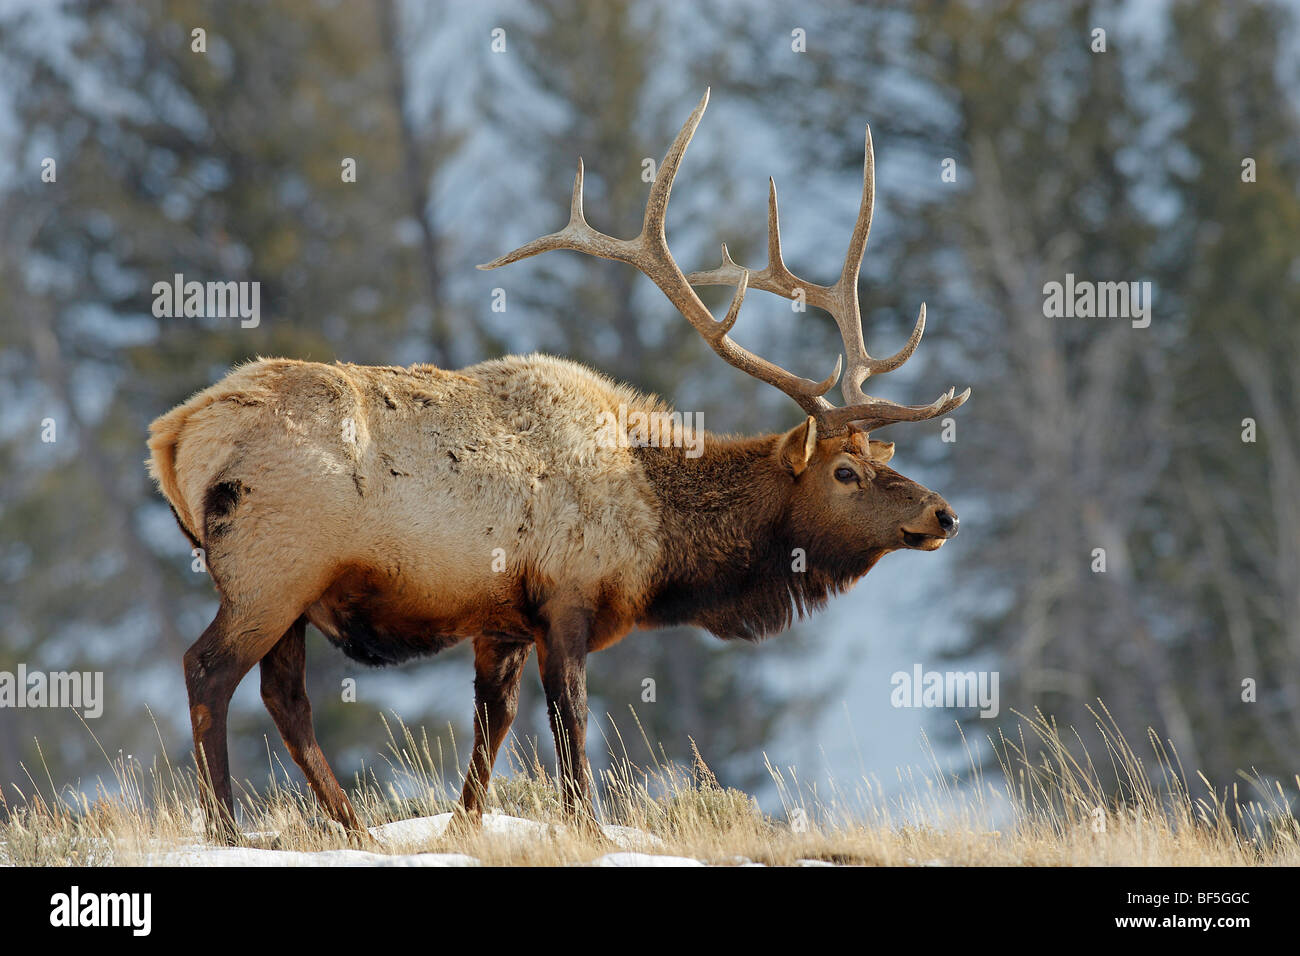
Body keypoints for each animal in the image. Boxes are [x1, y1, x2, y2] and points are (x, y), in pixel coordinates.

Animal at [147, 90, 968, 842]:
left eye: (878, 459)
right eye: (844, 473)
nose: (943, 512)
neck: (658, 537)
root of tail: (171, 435)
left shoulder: (501, 620)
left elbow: (495, 725)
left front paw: (462, 827)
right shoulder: (565, 598)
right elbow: (570, 723)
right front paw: (589, 828)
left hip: (287, 592)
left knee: (284, 697)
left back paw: (352, 829)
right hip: (271, 570)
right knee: (207, 670)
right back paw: (225, 828)